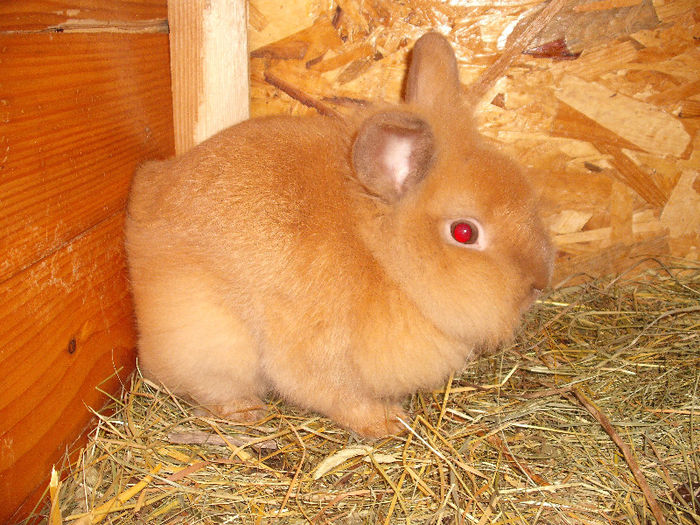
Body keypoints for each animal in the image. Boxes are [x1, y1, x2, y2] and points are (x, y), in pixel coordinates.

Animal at [124, 30, 552, 436]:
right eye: (464, 233)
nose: (538, 285)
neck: (382, 257)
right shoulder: (315, 349)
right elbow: (334, 393)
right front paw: (389, 423)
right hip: (213, 344)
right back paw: (246, 411)